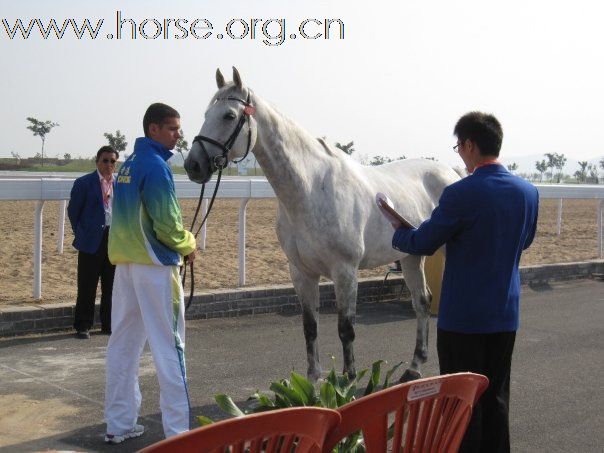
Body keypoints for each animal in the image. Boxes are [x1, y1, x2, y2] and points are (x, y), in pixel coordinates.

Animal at [186, 68, 460, 382]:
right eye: (207, 113)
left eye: (229, 116)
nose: (193, 165)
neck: (312, 188)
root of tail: (451, 172)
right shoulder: (301, 272)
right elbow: (310, 327)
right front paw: (313, 379)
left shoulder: (345, 271)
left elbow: (346, 329)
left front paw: (349, 381)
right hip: (411, 256)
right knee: (422, 302)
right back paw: (414, 367)